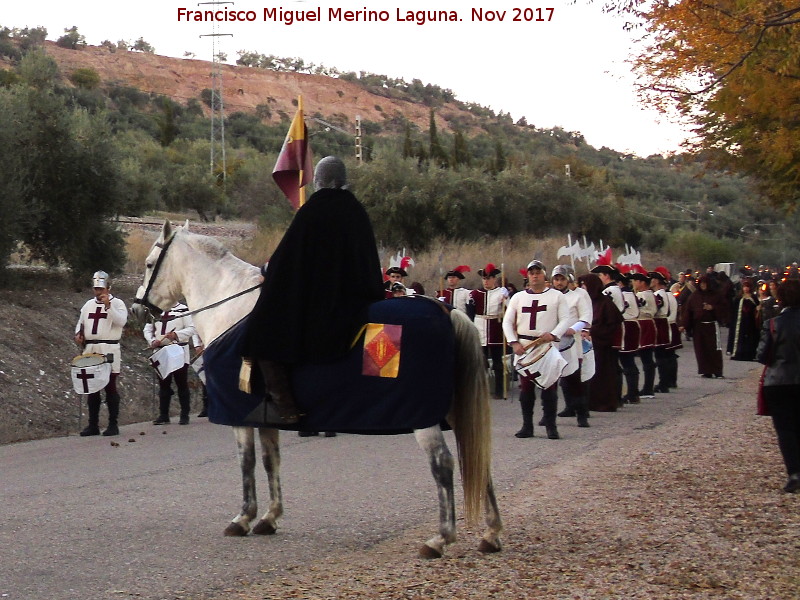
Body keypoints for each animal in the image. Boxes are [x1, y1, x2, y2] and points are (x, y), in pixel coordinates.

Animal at [134, 223, 504, 560]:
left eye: (151, 263)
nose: (138, 308)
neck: (232, 310)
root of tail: (445, 311)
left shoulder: (240, 413)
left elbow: (247, 461)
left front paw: (243, 518)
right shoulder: (266, 416)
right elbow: (270, 460)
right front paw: (269, 517)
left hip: (424, 418)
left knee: (443, 464)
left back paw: (441, 538)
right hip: (457, 409)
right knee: (478, 456)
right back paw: (491, 533)